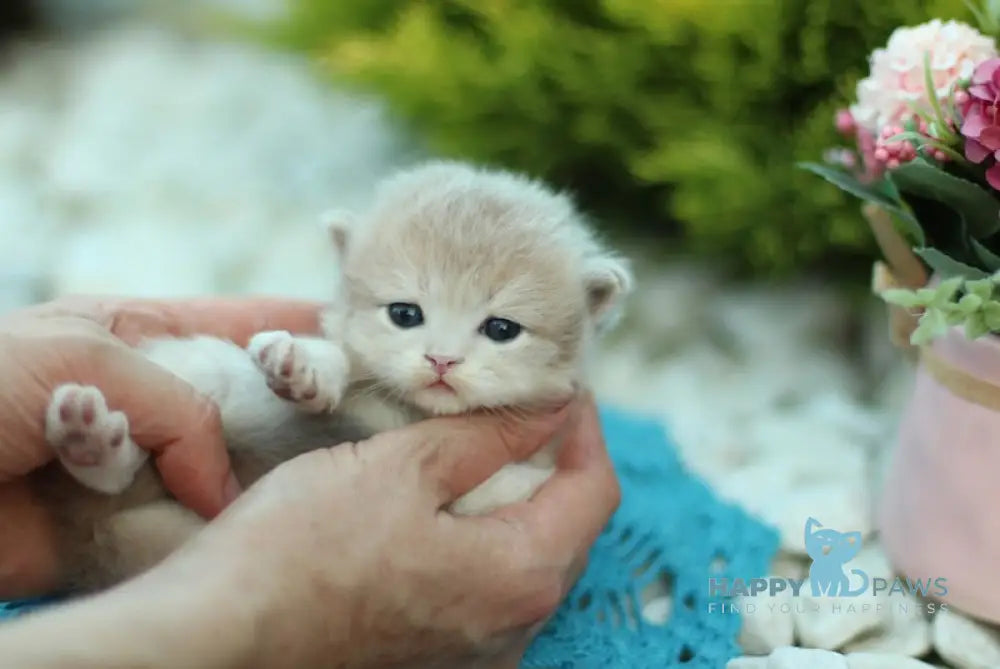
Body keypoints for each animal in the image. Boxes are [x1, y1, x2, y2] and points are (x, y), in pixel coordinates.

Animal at [29, 159, 632, 592]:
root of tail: (84, 539)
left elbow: (507, 484)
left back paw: (89, 440)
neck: (413, 412)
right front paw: (305, 367)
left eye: (501, 328)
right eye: (405, 314)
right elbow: (342, 363)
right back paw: (90, 440)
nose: (442, 361)